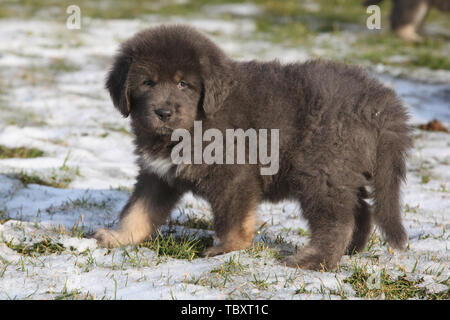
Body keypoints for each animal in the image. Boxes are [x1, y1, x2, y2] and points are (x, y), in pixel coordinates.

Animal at [94, 25, 412, 270]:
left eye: (183, 83)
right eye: (148, 83)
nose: (163, 112)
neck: (193, 126)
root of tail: (379, 103)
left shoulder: (233, 174)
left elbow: (233, 218)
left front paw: (227, 249)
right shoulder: (157, 175)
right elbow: (138, 210)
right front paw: (119, 237)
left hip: (322, 171)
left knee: (337, 220)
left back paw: (314, 261)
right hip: (343, 171)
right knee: (361, 210)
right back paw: (351, 250)